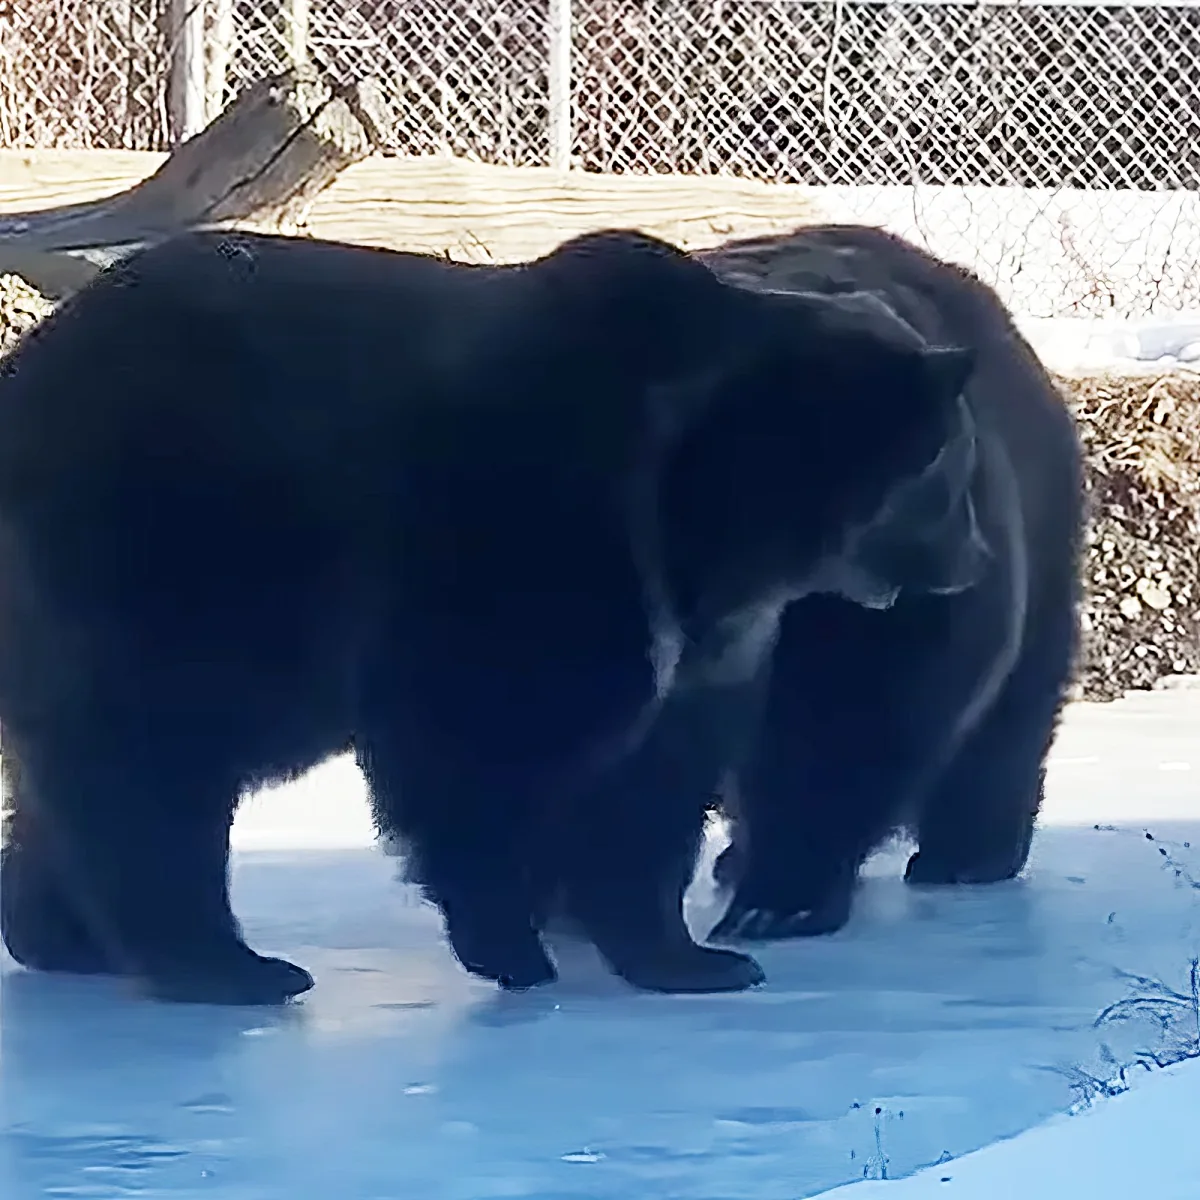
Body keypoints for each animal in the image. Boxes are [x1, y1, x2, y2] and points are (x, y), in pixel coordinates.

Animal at [0, 226, 982, 1005]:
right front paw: (511, 944)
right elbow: (480, 747)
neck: (714, 518)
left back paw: (66, 938)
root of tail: (30, 369)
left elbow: (653, 791)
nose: (974, 558)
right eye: (950, 475)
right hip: (173, 547)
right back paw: (226, 963)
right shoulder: (530, 539)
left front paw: (690, 957)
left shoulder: (704, 643)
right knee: (157, 765)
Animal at [688, 224, 1084, 943]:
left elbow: (848, 716)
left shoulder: (868, 618)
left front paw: (782, 897)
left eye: (950, 461)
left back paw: (969, 851)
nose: (973, 556)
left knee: (1010, 715)